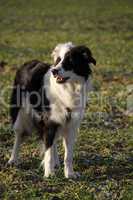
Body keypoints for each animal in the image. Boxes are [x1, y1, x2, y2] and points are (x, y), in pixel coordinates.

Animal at [8, 42, 95, 178]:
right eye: (58, 60)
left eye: (70, 61)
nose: (54, 71)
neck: (68, 88)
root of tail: (27, 63)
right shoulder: (49, 121)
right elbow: (47, 150)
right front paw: (49, 174)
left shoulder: (71, 125)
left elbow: (68, 155)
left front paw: (69, 173)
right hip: (20, 115)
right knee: (19, 135)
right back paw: (13, 159)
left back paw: (56, 163)